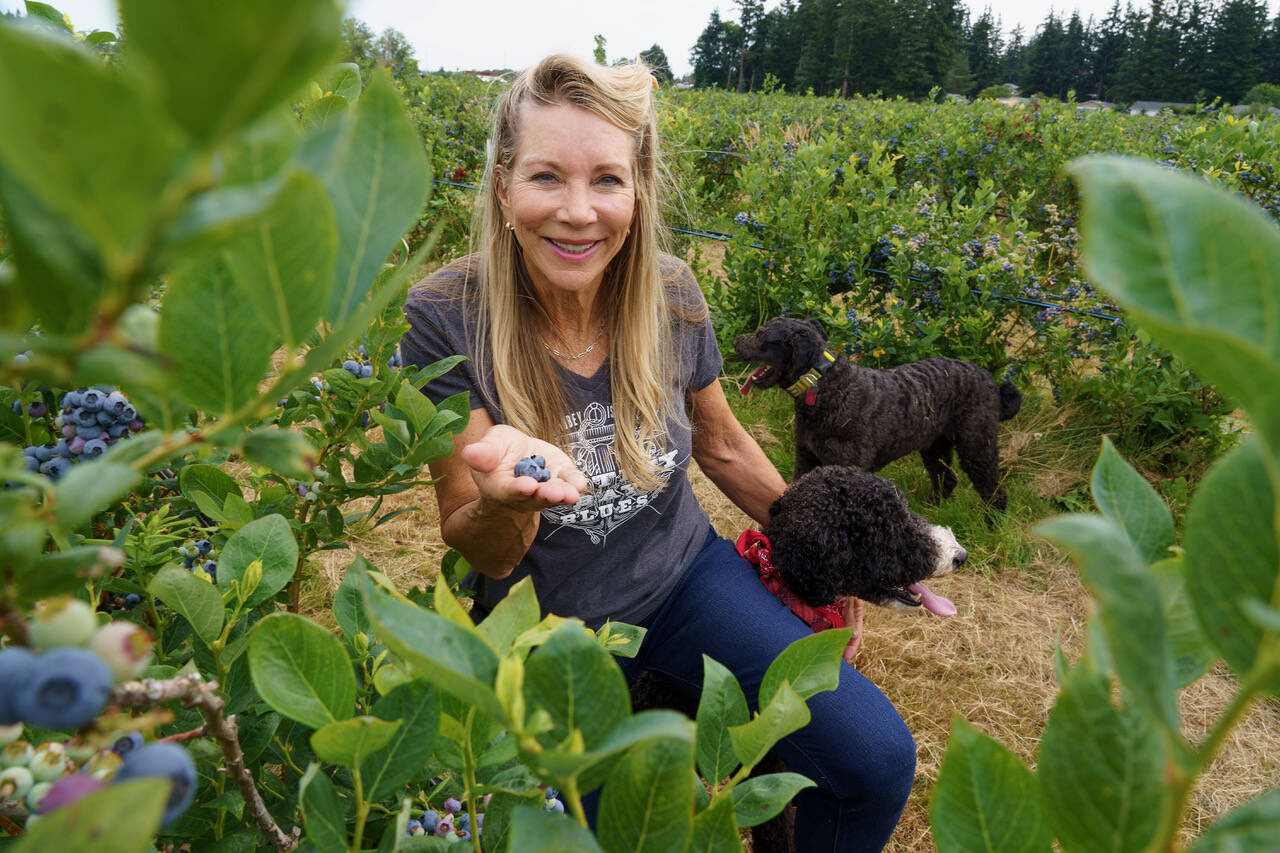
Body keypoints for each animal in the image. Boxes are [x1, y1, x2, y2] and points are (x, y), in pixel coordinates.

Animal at [737, 315, 1024, 507]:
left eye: (761, 334)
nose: (735, 341)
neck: (824, 385)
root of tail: (991, 381)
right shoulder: (806, 456)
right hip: (935, 446)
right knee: (946, 480)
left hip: (977, 444)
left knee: (994, 492)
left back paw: (992, 527)